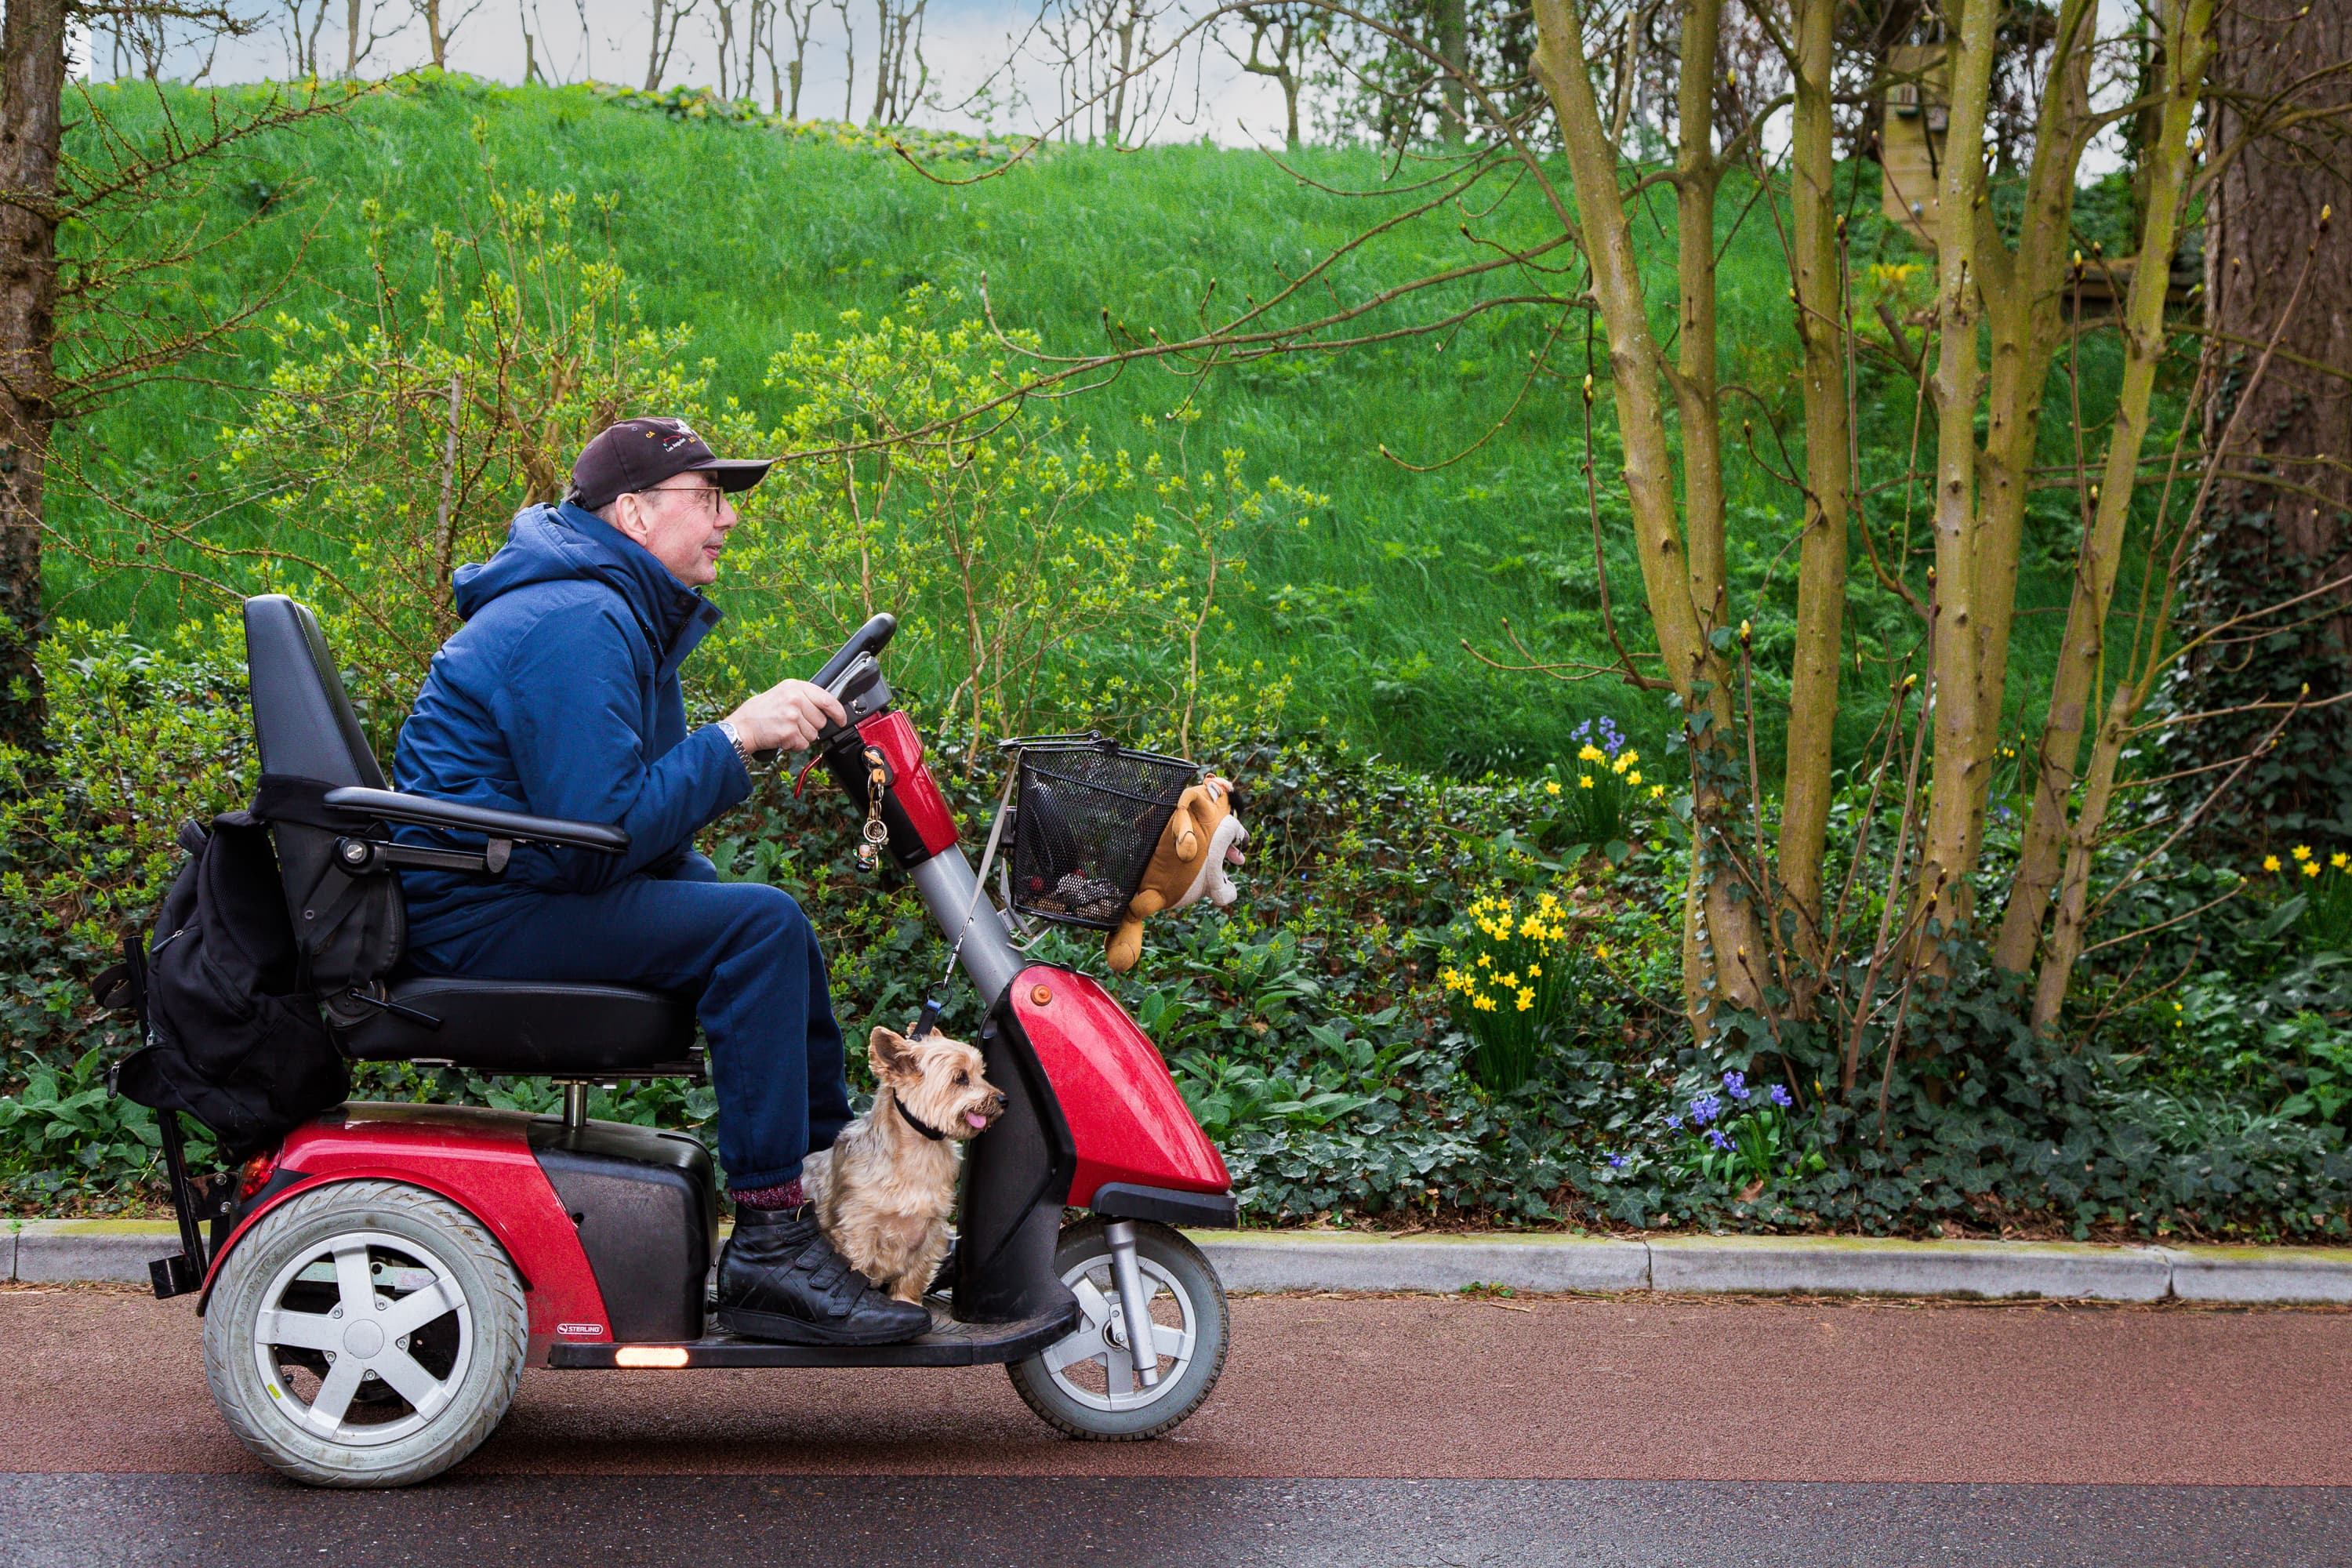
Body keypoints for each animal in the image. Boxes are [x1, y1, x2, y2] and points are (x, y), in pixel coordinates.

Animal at [804, 1025, 1007, 1307]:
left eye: (981, 1074)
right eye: (961, 1079)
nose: (1003, 1099)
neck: (920, 1148)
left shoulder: (931, 1230)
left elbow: (914, 1275)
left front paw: (907, 1303)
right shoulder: (858, 1229)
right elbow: (858, 1265)